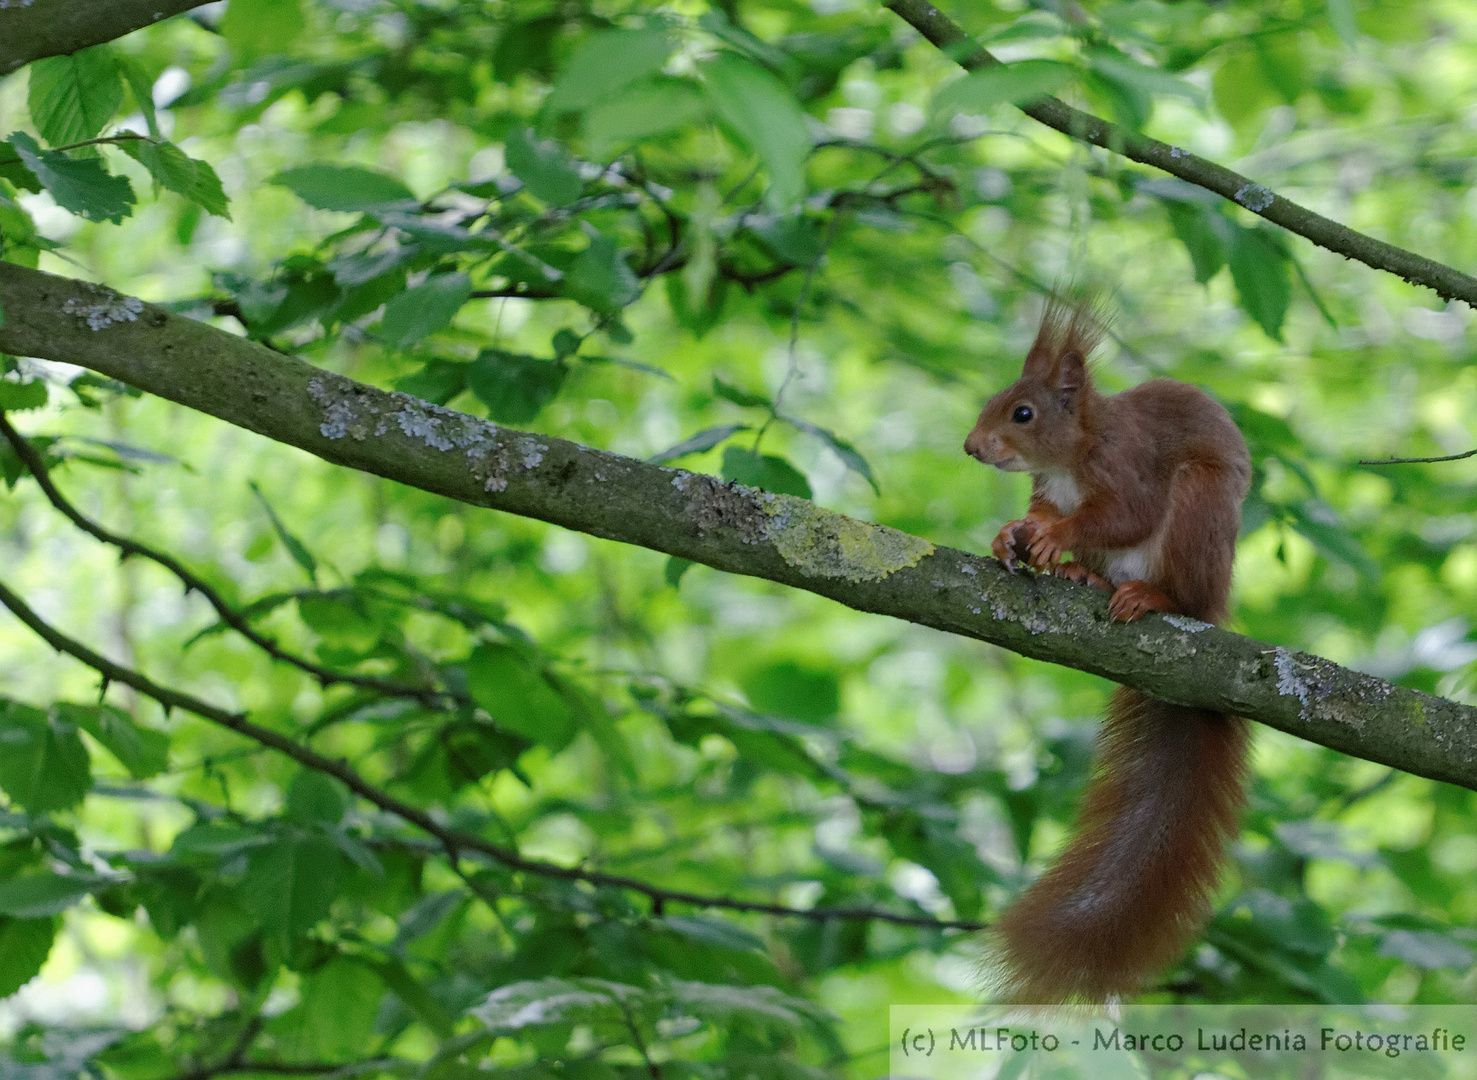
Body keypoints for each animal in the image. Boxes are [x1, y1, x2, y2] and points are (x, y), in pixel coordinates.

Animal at [963, 298, 1252, 1004]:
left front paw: (1054, 533)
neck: (1073, 457)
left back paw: (1148, 595)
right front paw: (1011, 536)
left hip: (1199, 511)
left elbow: (1124, 514)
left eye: (1023, 413)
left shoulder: (1130, 467)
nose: (972, 447)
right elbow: (1039, 512)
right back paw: (1082, 576)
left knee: (1177, 584)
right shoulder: (1046, 487)